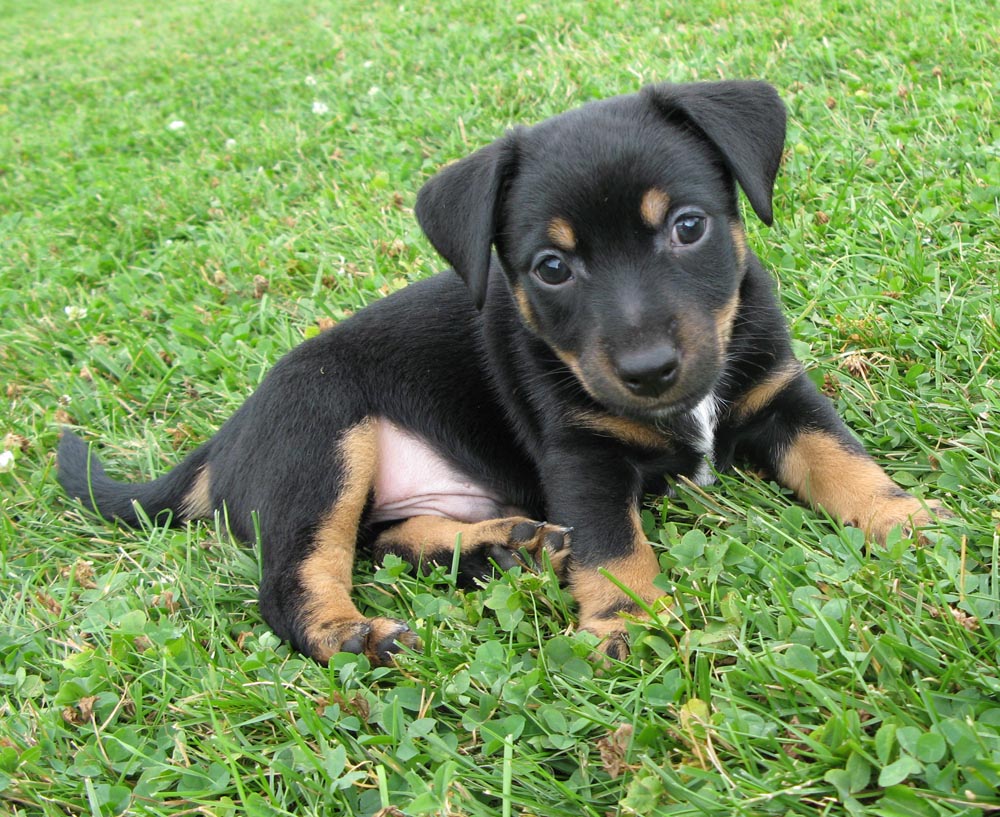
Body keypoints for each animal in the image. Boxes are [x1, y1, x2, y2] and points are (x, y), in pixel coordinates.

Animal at [58, 81, 940, 664]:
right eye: (551, 267)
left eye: (689, 227)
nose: (650, 370)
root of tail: (225, 437)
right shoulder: (581, 453)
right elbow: (613, 545)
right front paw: (628, 623)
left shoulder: (778, 391)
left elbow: (842, 458)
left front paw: (908, 520)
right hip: (322, 438)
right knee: (297, 577)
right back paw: (359, 630)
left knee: (390, 540)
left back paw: (507, 546)